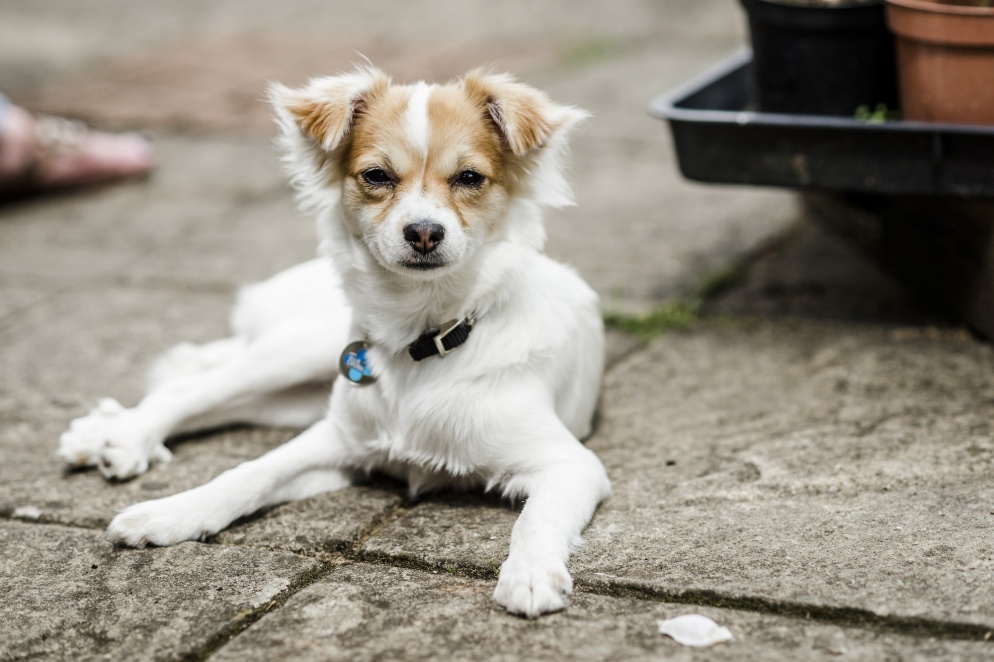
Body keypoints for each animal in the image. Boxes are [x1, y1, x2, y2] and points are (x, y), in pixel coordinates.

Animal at [60, 66, 612, 616]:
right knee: (193, 389)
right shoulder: (338, 439)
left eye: (470, 178)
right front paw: (171, 511)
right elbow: (249, 472)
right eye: (377, 176)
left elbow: (536, 518)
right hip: (294, 353)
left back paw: (108, 437)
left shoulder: (570, 464)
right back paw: (122, 437)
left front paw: (531, 573)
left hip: (292, 400)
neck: (426, 336)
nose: (424, 232)